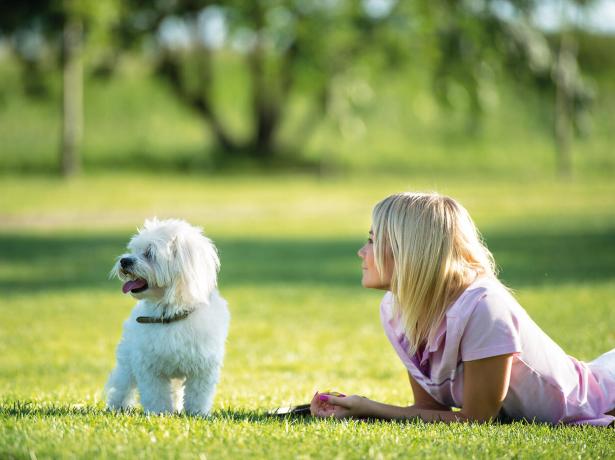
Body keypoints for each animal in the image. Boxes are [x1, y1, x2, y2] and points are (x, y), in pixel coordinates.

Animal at [104, 217, 230, 416]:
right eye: (134, 250)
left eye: (149, 253)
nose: (124, 261)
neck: (170, 315)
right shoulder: (149, 368)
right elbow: (155, 394)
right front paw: (159, 413)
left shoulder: (202, 368)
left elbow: (198, 395)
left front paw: (197, 413)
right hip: (127, 363)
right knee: (121, 385)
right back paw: (117, 406)